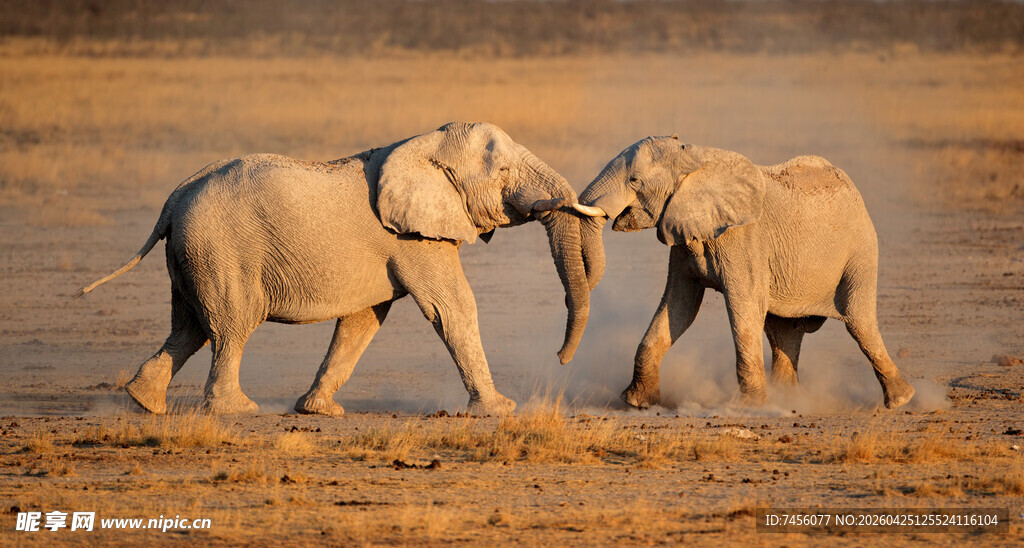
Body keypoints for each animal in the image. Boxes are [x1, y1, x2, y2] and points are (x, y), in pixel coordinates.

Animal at [77, 122, 603, 416]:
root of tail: (174, 198)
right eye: (503, 174)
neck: (424, 144)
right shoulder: (414, 239)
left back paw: (143, 403)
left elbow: (362, 321)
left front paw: (320, 412)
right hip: (220, 250)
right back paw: (236, 411)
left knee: (189, 328)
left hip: (192, 253)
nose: (560, 360)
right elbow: (452, 307)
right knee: (229, 327)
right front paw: (500, 411)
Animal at [571, 135, 915, 410]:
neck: (693, 158)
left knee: (859, 321)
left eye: (634, 181)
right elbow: (678, 306)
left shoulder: (744, 241)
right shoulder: (684, 235)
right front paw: (637, 402)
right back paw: (789, 399)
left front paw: (751, 407)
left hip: (860, 252)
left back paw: (901, 400)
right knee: (784, 330)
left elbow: (743, 307)